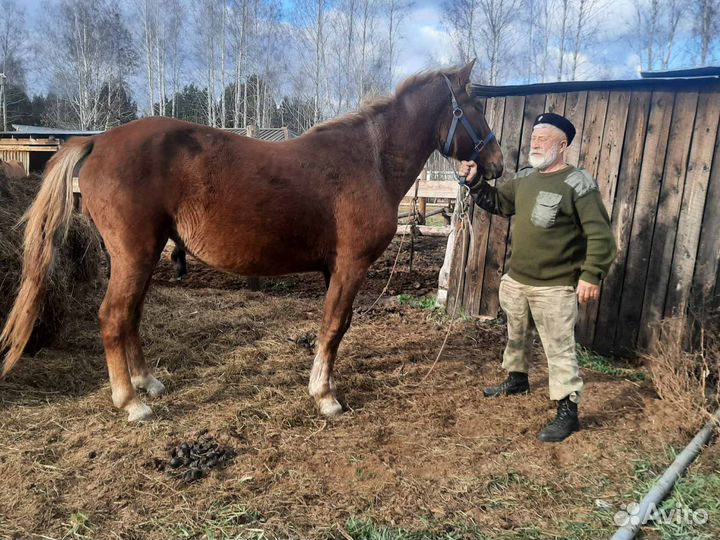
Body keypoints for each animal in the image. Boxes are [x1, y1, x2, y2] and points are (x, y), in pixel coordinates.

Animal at [0, 60, 503, 422]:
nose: (497, 162)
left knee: (131, 317)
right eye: (477, 108)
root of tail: (99, 141)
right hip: (134, 255)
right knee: (113, 317)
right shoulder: (350, 266)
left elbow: (332, 328)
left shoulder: (334, 270)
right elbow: (334, 327)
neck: (370, 160)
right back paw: (131, 402)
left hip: (139, 258)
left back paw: (147, 382)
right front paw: (325, 396)